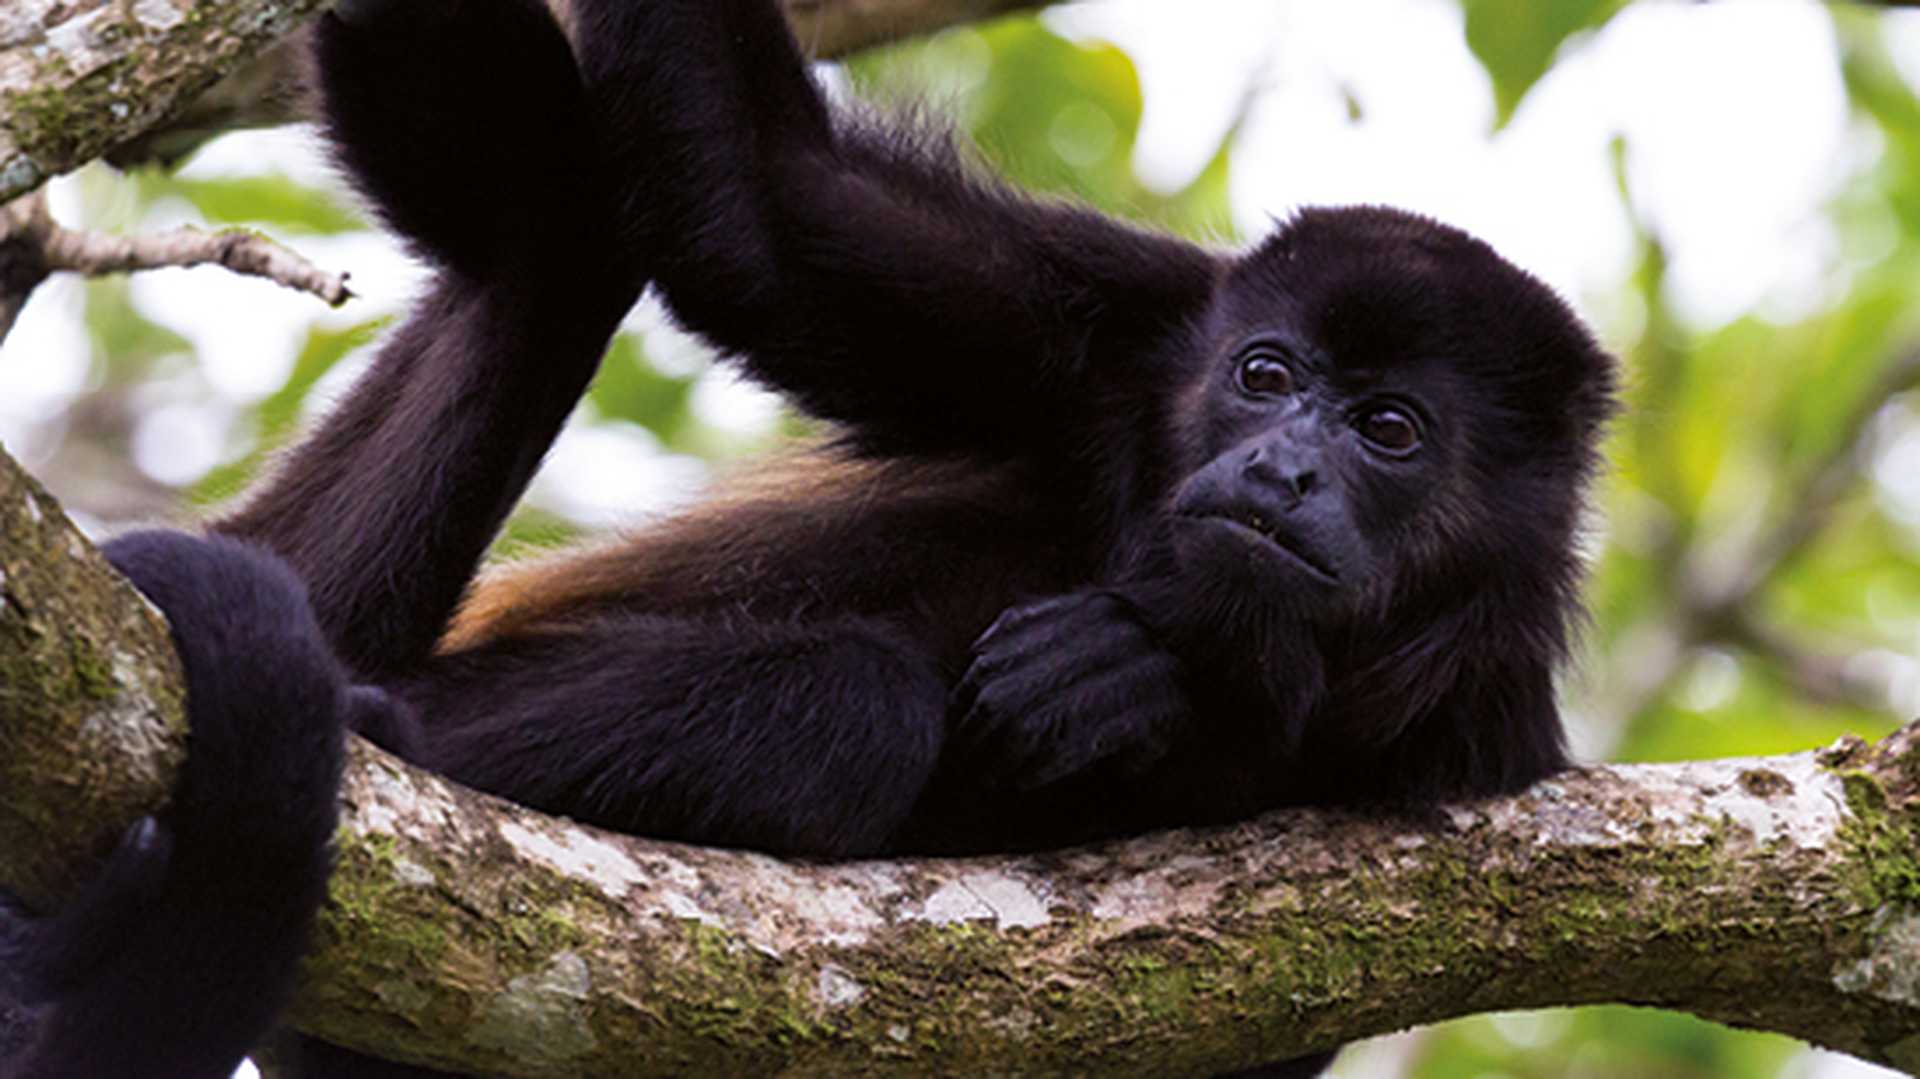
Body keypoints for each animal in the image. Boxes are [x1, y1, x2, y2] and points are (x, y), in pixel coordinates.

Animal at [0, 0, 1615, 1074]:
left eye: (1389, 428)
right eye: (1265, 374)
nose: (1280, 465)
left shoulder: (1480, 729)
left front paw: (1139, 678)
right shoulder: (1120, 323)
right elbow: (767, 204)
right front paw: (1137, 669)